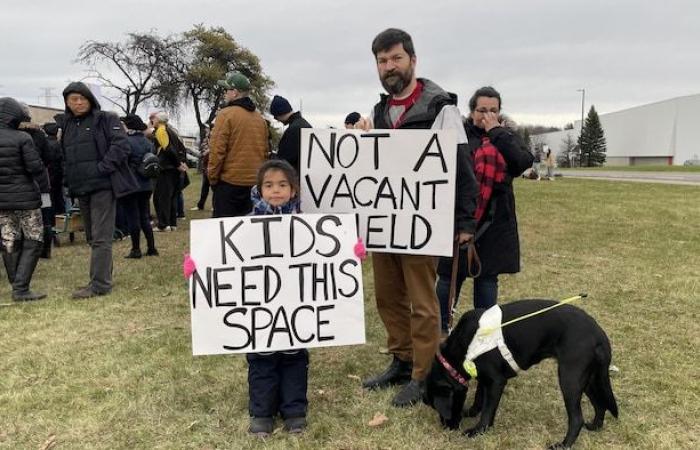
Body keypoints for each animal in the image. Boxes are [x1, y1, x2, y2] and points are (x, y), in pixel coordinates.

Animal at [422, 298, 616, 450]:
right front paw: (471, 411)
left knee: (577, 419)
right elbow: (479, 395)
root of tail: (599, 333)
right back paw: (595, 426)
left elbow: (488, 410)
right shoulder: (485, 377)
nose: (447, 428)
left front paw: (478, 430)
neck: (463, 346)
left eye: (438, 407)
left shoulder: (496, 381)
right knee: (600, 403)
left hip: (570, 378)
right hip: (589, 378)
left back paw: (563, 445)